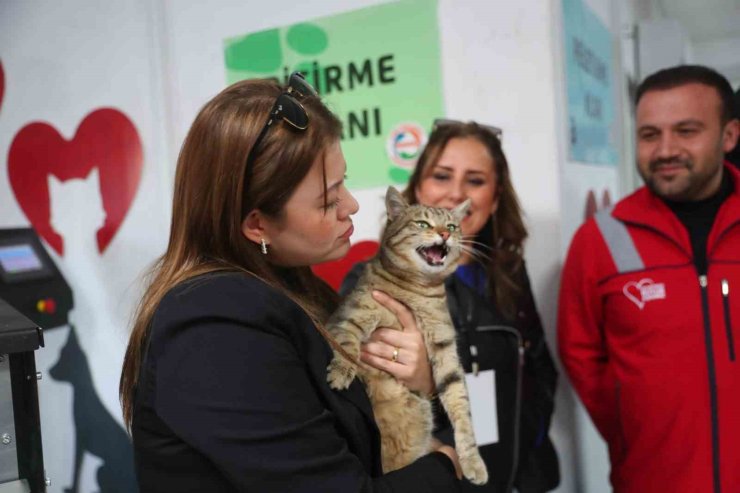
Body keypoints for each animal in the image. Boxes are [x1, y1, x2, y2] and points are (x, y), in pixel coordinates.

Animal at [326, 186, 488, 482]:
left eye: (451, 226)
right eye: (423, 224)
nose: (444, 234)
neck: (418, 291)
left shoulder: (444, 346)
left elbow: (460, 403)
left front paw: (472, 461)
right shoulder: (347, 317)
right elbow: (347, 345)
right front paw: (341, 373)